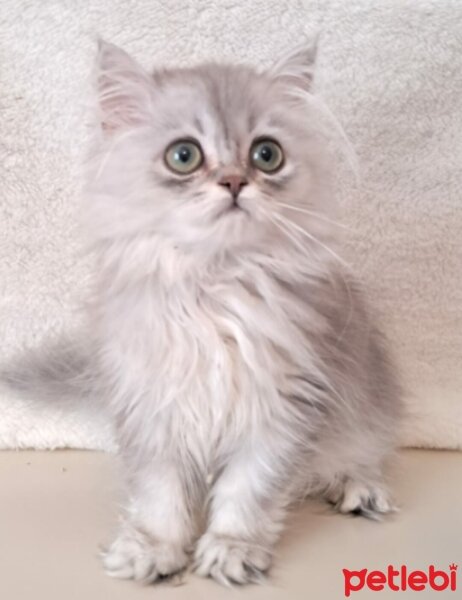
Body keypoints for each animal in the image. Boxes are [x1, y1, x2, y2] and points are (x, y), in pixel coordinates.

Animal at [7, 39, 400, 584]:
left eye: (266, 154)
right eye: (184, 155)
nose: (234, 181)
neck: (215, 290)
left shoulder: (283, 406)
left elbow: (247, 491)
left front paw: (232, 549)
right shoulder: (153, 406)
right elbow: (162, 495)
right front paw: (154, 549)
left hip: (364, 404)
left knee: (364, 449)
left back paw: (358, 488)